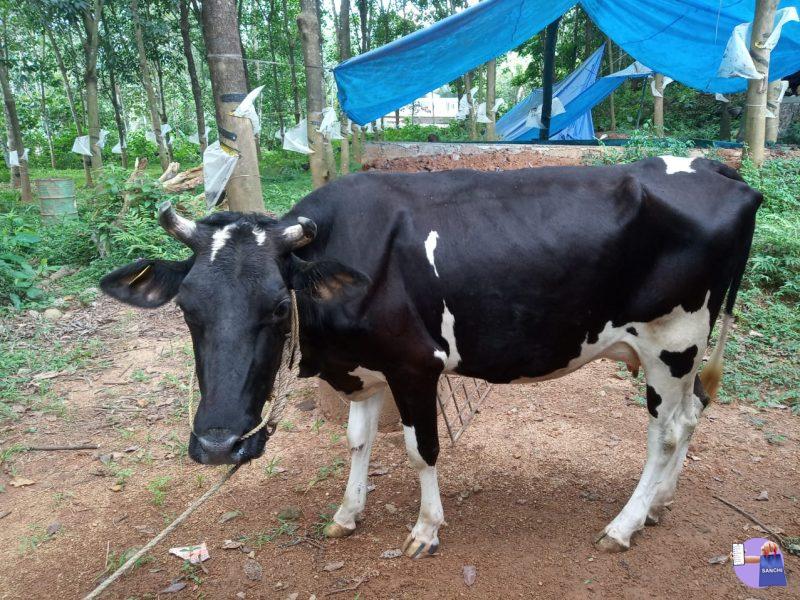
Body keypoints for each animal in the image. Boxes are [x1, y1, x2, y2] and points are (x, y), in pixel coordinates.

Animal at [101, 156, 764, 556]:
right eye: (188, 308)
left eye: (275, 307)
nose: (217, 446)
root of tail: (712, 166)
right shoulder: (364, 368)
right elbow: (358, 442)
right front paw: (348, 512)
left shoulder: (414, 364)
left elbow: (421, 449)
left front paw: (425, 530)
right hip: (686, 351)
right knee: (693, 416)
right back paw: (659, 506)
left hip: (671, 341)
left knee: (667, 433)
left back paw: (624, 525)